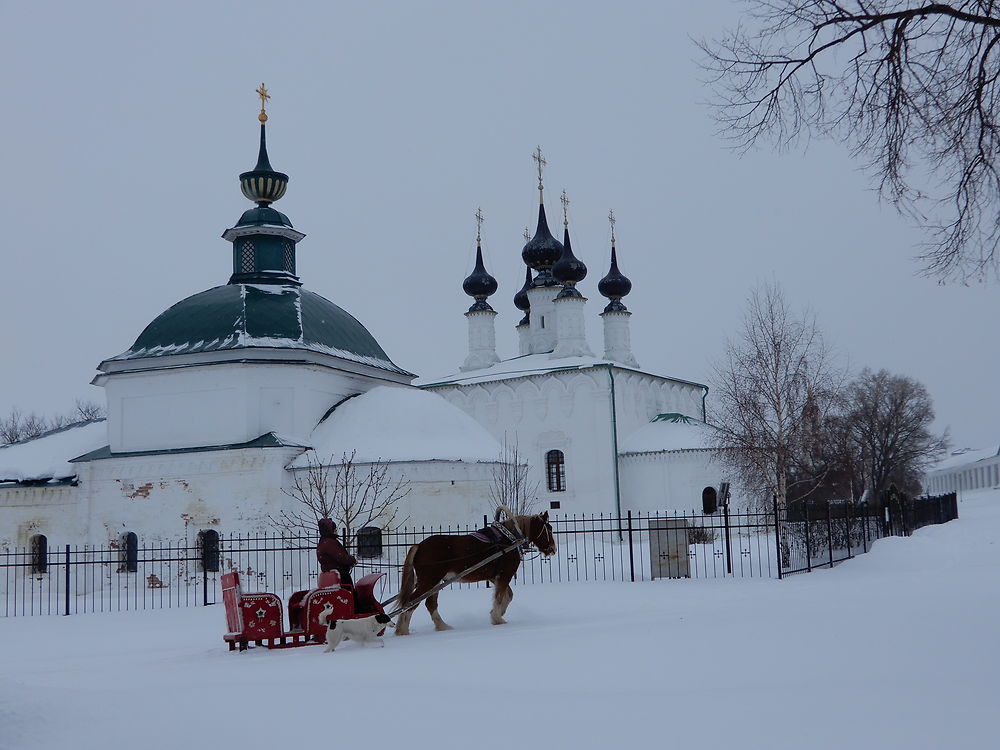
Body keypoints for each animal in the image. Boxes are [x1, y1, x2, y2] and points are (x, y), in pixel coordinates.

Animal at [394, 512, 560, 636]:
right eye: (549, 529)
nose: (552, 549)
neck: (509, 539)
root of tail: (419, 546)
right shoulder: (505, 574)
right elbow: (500, 596)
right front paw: (497, 618)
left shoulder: (494, 577)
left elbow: (508, 595)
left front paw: (497, 613)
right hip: (429, 581)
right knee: (412, 602)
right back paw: (403, 630)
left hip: (434, 582)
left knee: (430, 603)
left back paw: (442, 626)